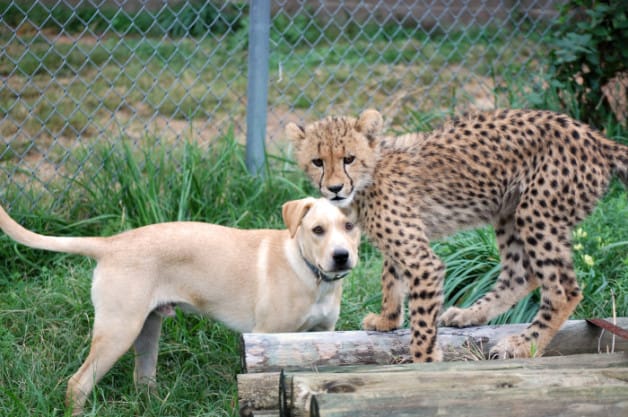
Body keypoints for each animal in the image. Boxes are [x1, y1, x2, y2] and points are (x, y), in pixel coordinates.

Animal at [0, 197, 358, 412]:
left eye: (350, 227)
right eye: (317, 230)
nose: (342, 256)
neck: (311, 273)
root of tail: (111, 243)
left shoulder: (324, 336)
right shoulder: (265, 337)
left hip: (146, 331)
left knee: (142, 380)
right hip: (118, 331)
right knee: (78, 384)